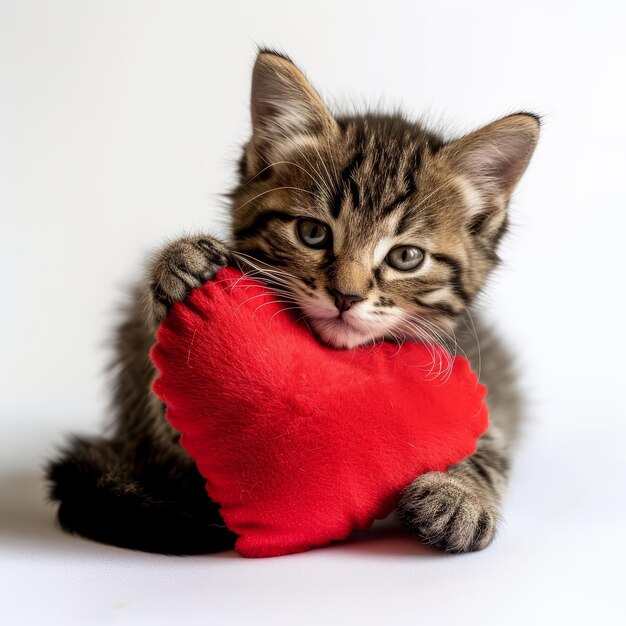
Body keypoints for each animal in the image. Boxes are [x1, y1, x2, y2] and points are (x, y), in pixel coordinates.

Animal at [47, 51, 536, 552]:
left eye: (406, 257)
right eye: (312, 232)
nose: (346, 295)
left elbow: (489, 451)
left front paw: (459, 497)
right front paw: (181, 261)